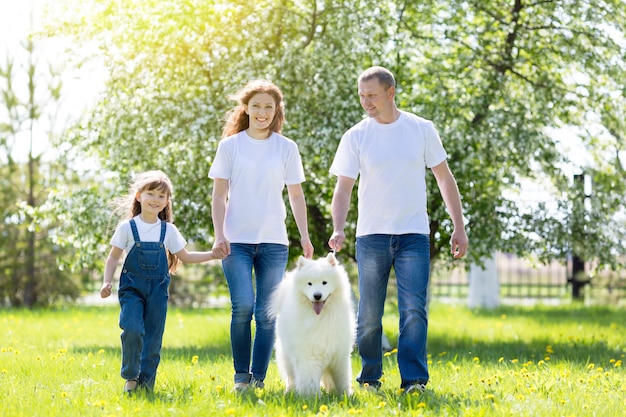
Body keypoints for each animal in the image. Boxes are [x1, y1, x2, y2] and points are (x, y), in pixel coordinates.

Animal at [268, 252, 356, 394]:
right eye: (309, 283)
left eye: (324, 282)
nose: (317, 295)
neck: (321, 317)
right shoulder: (310, 355)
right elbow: (310, 378)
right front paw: (312, 396)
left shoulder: (339, 354)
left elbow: (341, 377)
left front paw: (345, 394)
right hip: (287, 355)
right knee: (291, 376)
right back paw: (290, 390)